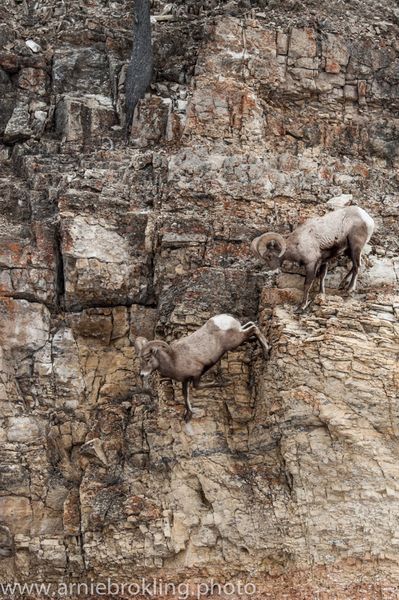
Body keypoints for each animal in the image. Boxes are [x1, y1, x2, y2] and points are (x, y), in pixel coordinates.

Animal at [134, 314, 268, 422]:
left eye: (148, 359)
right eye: (140, 360)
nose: (142, 375)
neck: (173, 360)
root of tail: (223, 319)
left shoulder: (196, 374)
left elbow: (197, 387)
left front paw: (226, 383)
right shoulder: (185, 380)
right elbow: (185, 396)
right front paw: (187, 415)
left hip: (235, 341)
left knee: (253, 329)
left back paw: (267, 350)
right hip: (238, 332)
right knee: (251, 324)